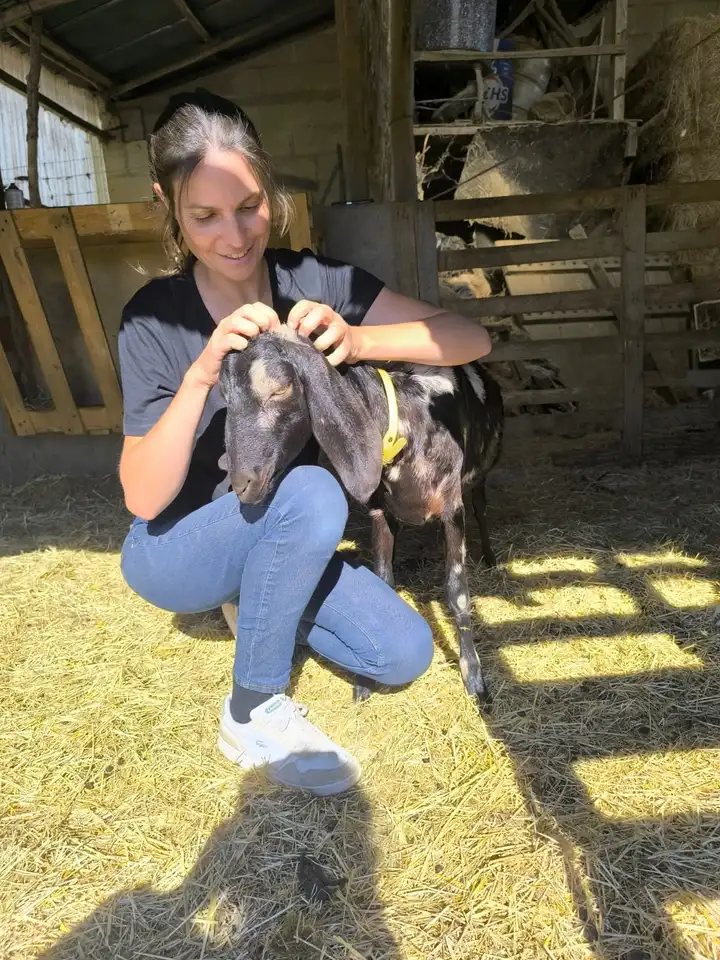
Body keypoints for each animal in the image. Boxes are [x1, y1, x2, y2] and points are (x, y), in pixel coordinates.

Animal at [218, 326, 504, 707]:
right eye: (225, 397)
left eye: (279, 389)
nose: (241, 484)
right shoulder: (380, 512)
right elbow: (384, 580)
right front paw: (364, 683)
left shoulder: (451, 510)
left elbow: (457, 593)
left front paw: (474, 680)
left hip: (480, 476)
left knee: (481, 509)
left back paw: (489, 555)